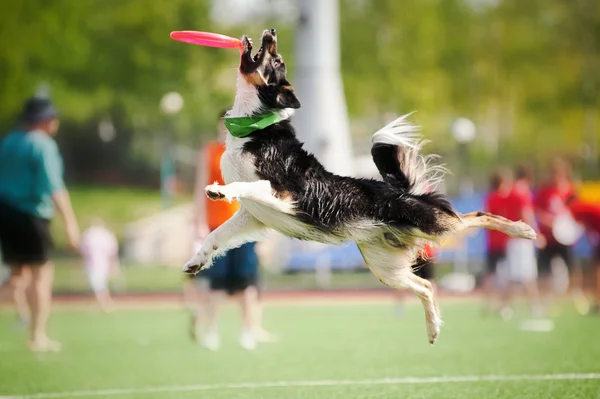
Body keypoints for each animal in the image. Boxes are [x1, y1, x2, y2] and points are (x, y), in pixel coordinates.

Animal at [183, 30, 536, 344]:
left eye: (276, 58)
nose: (270, 31)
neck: (255, 125)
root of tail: (402, 191)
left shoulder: (278, 192)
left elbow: (246, 185)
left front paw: (221, 191)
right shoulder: (254, 217)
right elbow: (215, 237)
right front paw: (196, 260)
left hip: (433, 226)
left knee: (476, 215)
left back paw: (523, 230)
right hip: (384, 267)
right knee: (426, 286)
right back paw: (433, 329)